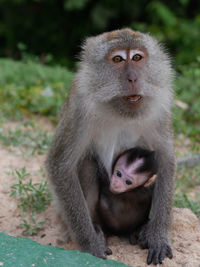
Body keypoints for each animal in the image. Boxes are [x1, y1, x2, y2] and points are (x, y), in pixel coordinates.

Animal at [45, 28, 175, 266]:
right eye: (117, 60)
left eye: (137, 58)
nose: (132, 78)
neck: (119, 109)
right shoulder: (79, 107)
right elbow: (60, 164)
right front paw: (90, 244)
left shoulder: (159, 109)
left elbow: (164, 158)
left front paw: (158, 235)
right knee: (86, 163)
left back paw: (137, 230)